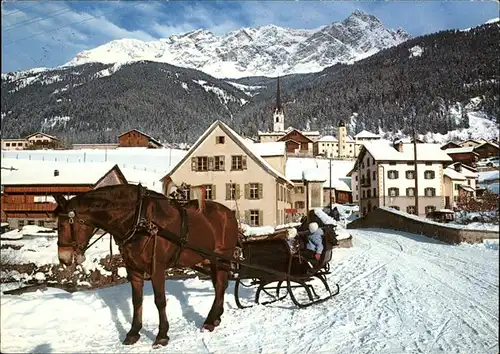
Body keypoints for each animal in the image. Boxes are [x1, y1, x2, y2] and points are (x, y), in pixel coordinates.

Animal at [54, 184, 240, 348]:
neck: (139, 221)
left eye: (64, 225)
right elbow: (137, 301)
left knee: (220, 285)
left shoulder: (157, 269)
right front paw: (133, 332)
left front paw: (162, 335)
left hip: (221, 259)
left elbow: (160, 301)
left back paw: (210, 321)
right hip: (210, 261)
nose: (63, 258)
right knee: (219, 286)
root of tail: (228, 213)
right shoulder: (133, 269)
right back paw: (215, 317)